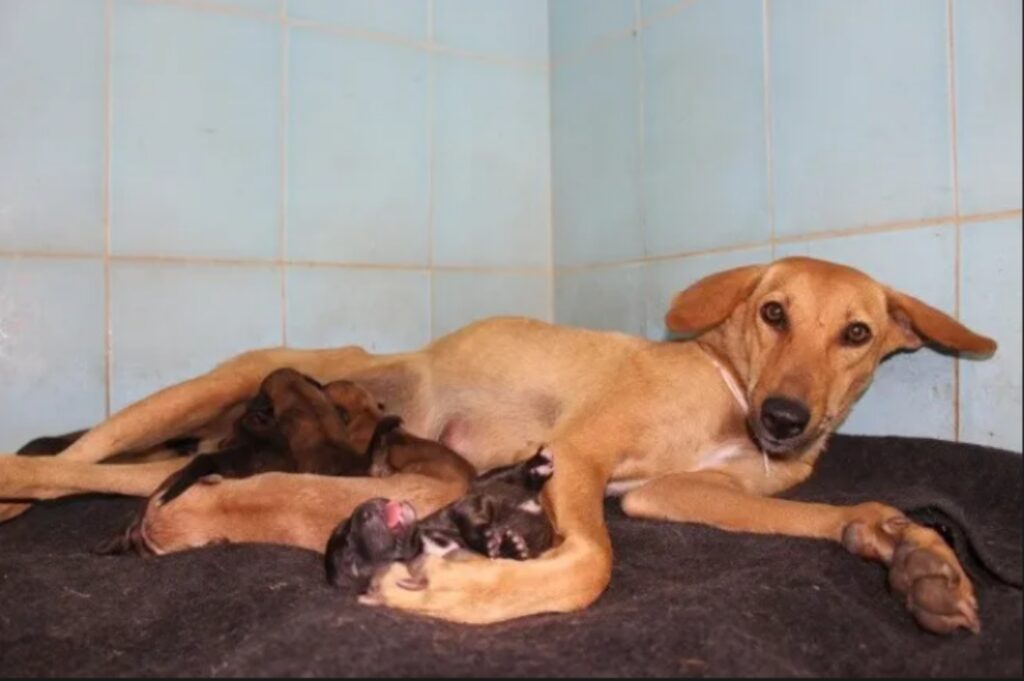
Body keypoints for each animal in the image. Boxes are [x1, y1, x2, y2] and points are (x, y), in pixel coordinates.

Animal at [325, 446, 552, 589]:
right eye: (350, 561)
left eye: (345, 524)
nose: (363, 512)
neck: (424, 545)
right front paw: (508, 545)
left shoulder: (460, 506)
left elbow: (466, 516)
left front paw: (489, 539)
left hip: (483, 481)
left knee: (511, 473)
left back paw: (538, 464)